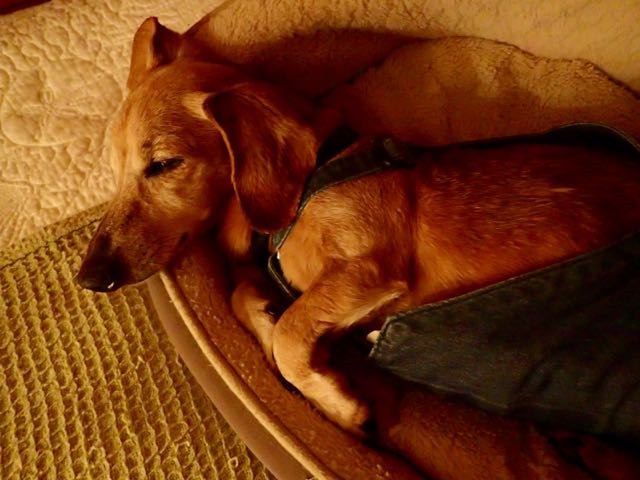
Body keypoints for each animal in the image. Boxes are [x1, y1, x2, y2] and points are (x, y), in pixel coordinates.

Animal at [78, 17, 640, 436]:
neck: (311, 179)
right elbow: (251, 302)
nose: (89, 277)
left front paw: (339, 406)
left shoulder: (369, 269)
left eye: (164, 165)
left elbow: (292, 333)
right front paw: (267, 321)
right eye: (115, 169)